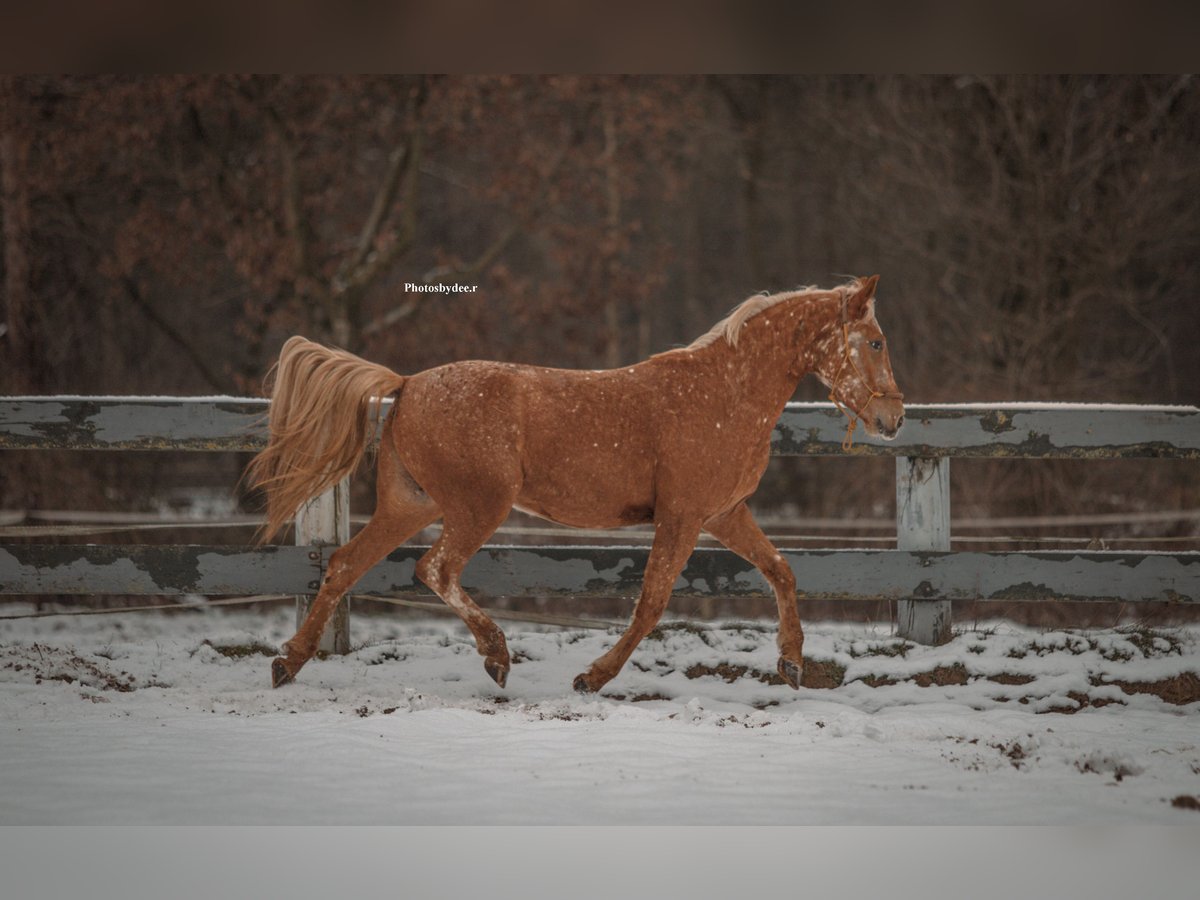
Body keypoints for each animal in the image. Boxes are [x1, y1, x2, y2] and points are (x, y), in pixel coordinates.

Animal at [250, 278, 902, 696]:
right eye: (875, 341)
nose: (894, 418)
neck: (726, 394)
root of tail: (407, 384)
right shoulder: (683, 515)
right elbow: (651, 602)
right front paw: (592, 677)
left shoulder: (724, 514)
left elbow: (782, 571)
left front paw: (791, 662)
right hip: (478, 505)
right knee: (434, 570)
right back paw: (496, 656)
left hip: (409, 506)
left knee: (343, 565)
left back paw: (288, 664)